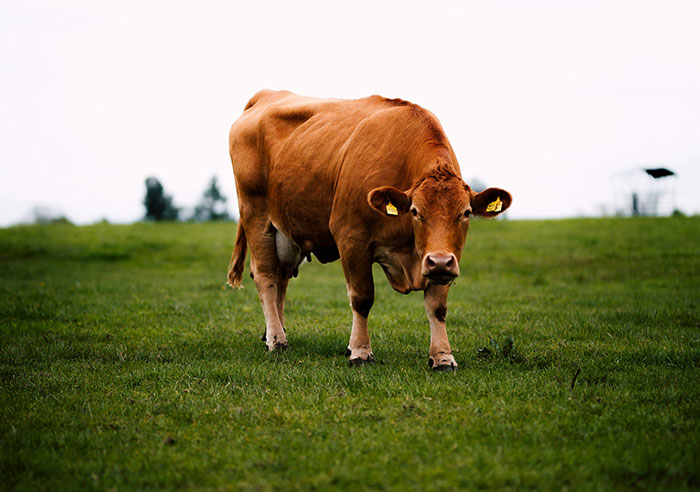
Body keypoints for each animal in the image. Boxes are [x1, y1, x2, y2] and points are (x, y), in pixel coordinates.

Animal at [227, 90, 511, 371]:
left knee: (281, 277)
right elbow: (362, 299)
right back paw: (277, 340)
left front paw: (442, 356)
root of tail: (266, 95)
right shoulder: (351, 238)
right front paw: (360, 352)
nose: (439, 261)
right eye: (415, 212)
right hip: (256, 216)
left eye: (465, 213)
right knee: (266, 276)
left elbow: (437, 306)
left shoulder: (445, 258)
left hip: (285, 231)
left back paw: (273, 332)